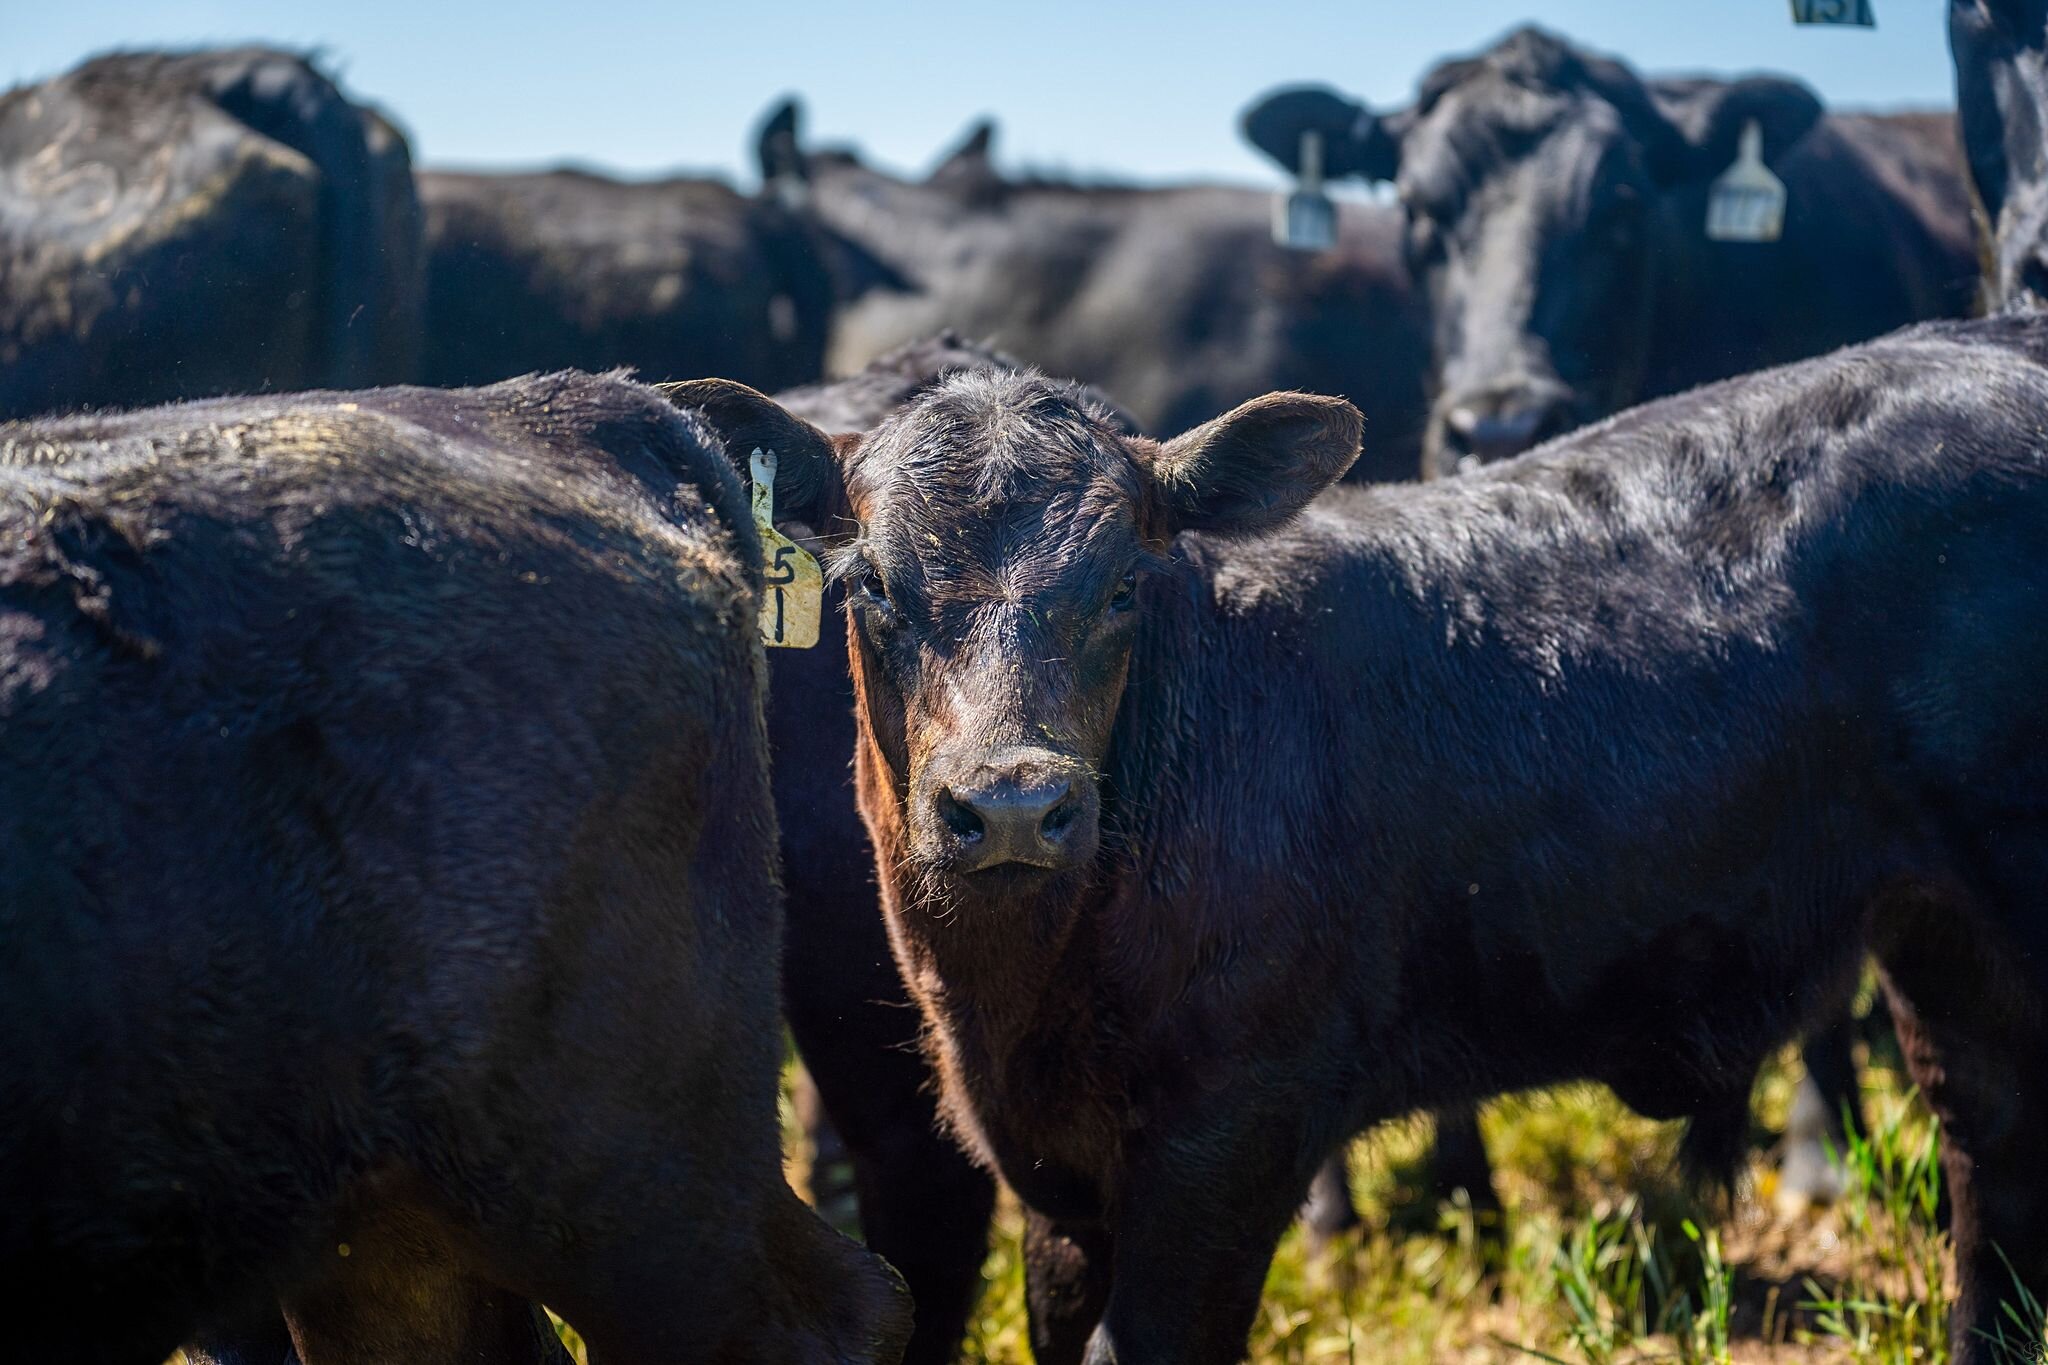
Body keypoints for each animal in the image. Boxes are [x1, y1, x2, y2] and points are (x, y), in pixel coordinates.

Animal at [674, 311, 2048, 1365]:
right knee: (1990, 1149)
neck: (1023, 990)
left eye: (1123, 586)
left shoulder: (1231, 1135)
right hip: (1942, 938)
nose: (1010, 802)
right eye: (870, 587)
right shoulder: (1054, 1179)